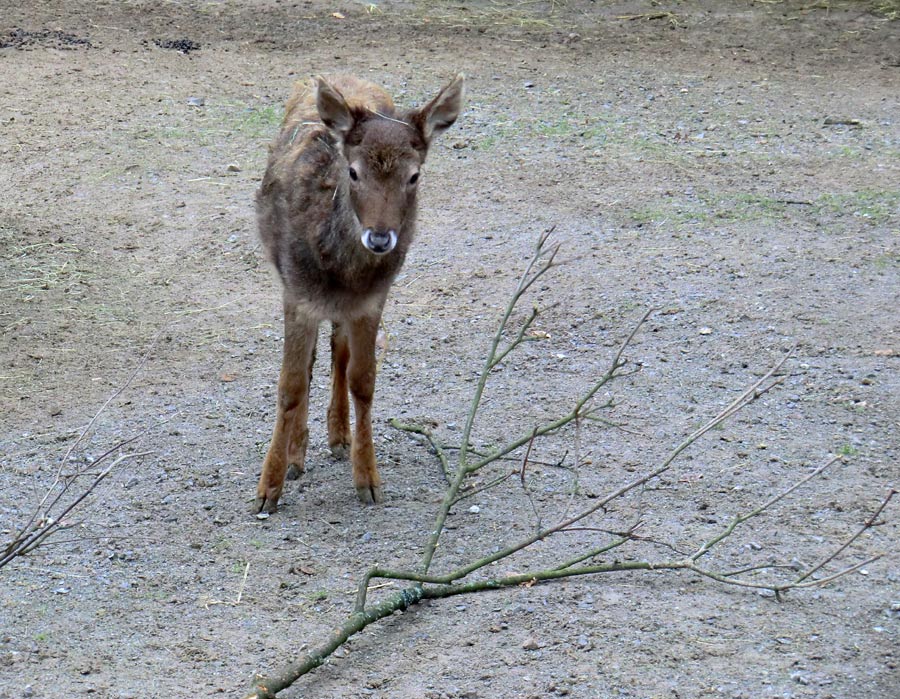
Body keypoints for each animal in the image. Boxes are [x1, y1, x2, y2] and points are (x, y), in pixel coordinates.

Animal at [253, 75, 464, 516]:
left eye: (414, 176)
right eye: (353, 171)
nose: (380, 238)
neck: (343, 272)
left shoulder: (371, 299)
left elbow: (363, 379)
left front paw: (368, 479)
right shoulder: (296, 293)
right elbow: (290, 385)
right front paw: (268, 489)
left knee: (338, 352)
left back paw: (338, 437)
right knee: (312, 361)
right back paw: (298, 456)